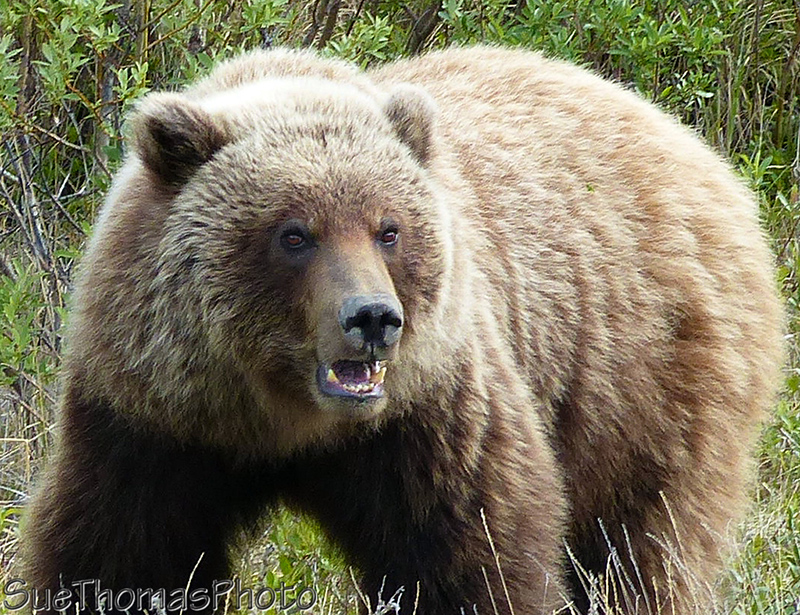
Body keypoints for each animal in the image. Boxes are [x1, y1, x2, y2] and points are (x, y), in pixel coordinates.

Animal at [22, 46, 784, 615]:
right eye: (294, 232)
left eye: (388, 229)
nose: (372, 318)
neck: (285, 423)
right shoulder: (154, 416)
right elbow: (121, 555)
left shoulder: (433, 412)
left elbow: (476, 556)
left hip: (642, 384)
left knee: (643, 544)